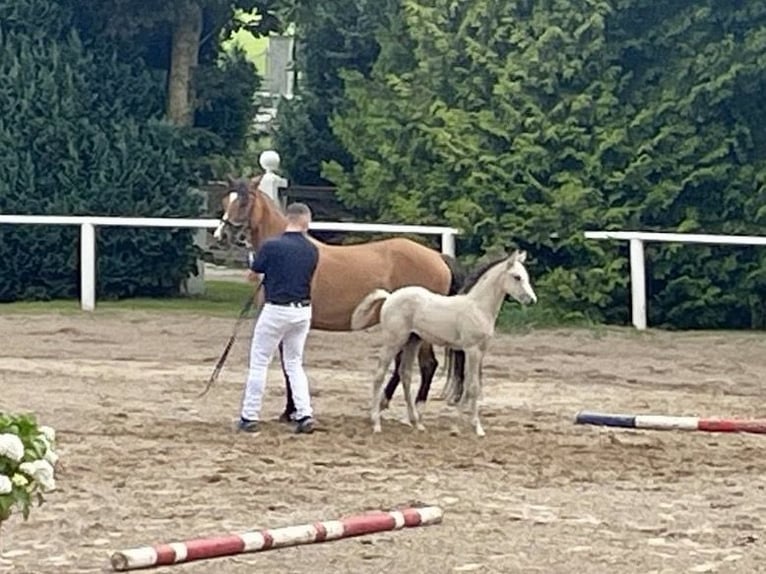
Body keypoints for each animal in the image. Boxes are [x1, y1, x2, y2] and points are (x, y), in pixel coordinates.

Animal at [210, 176, 464, 424]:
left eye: (244, 201)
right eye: (225, 200)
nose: (222, 236)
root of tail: (437, 257)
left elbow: (287, 366)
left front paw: (290, 411)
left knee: (428, 364)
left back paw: (413, 411)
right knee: (404, 364)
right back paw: (384, 403)